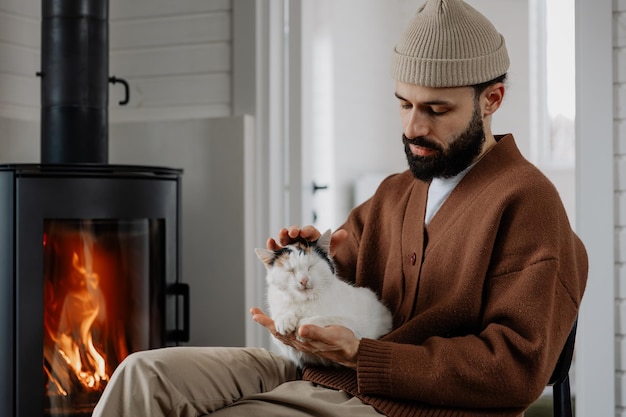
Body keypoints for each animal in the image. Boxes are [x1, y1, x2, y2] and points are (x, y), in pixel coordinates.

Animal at [254, 228, 390, 368]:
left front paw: (303, 324)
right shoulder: (290, 350)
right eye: (290, 271)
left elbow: (326, 318)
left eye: (310, 266)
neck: (305, 301)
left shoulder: (355, 326)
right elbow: (281, 316)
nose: (304, 280)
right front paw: (284, 320)